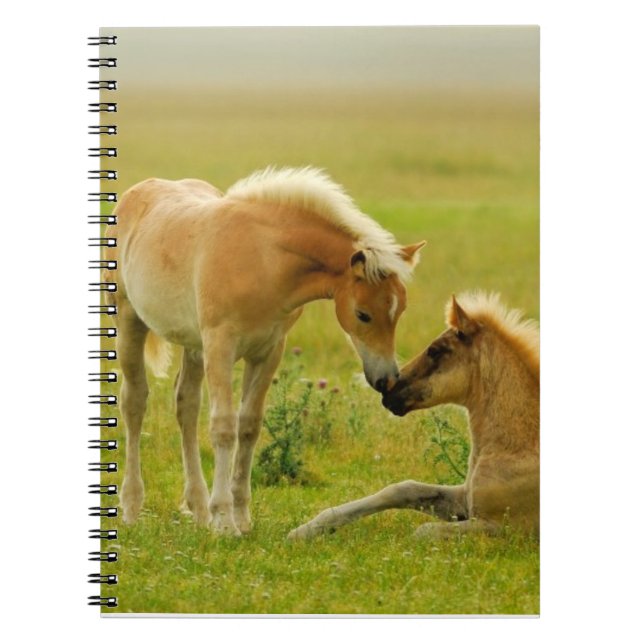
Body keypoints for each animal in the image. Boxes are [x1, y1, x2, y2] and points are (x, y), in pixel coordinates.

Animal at [104, 166, 425, 536]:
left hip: (194, 346)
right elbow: (224, 428)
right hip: (130, 321)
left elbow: (249, 427)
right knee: (135, 402)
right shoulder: (221, 347)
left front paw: (241, 517)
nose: (386, 379)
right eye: (363, 314)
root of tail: (136, 194)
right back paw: (132, 507)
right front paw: (224, 520)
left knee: (186, 406)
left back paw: (198, 508)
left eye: (401, 310)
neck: (263, 260)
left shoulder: (268, 351)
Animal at [288, 292, 539, 540]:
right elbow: (402, 489)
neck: (515, 448)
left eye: (435, 350)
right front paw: (304, 530)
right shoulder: (464, 500)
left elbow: (423, 531)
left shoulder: (504, 527)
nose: (388, 391)